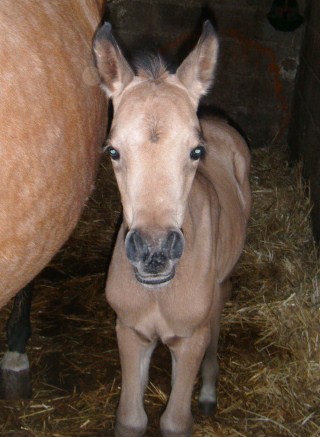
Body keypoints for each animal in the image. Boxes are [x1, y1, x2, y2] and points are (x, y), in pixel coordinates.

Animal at [94, 18, 251, 434]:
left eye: (196, 151)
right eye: (113, 151)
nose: (154, 252)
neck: (158, 293)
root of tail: (219, 119)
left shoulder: (190, 339)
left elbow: (176, 422)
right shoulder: (130, 332)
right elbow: (131, 419)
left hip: (220, 286)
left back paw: (209, 391)